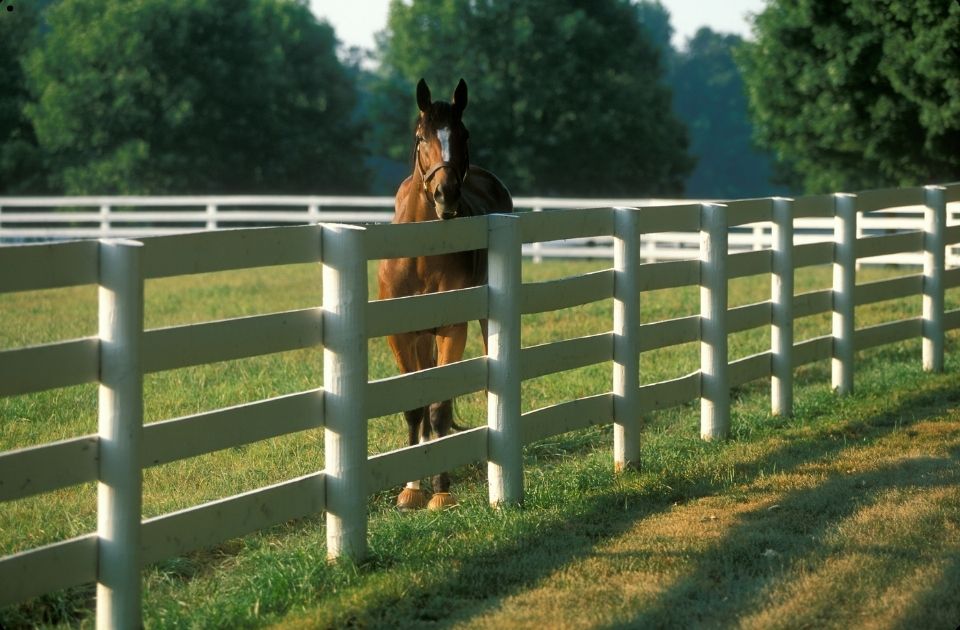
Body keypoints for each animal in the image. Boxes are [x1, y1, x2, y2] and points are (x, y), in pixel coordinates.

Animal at [377, 78, 513, 511]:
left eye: (463, 134)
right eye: (421, 137)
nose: (445, 194)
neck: (421, 253)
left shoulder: (452, 328)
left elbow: (438, 408)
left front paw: (441, 491)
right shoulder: (401, 335)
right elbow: (415, 407)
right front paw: (410, 489)